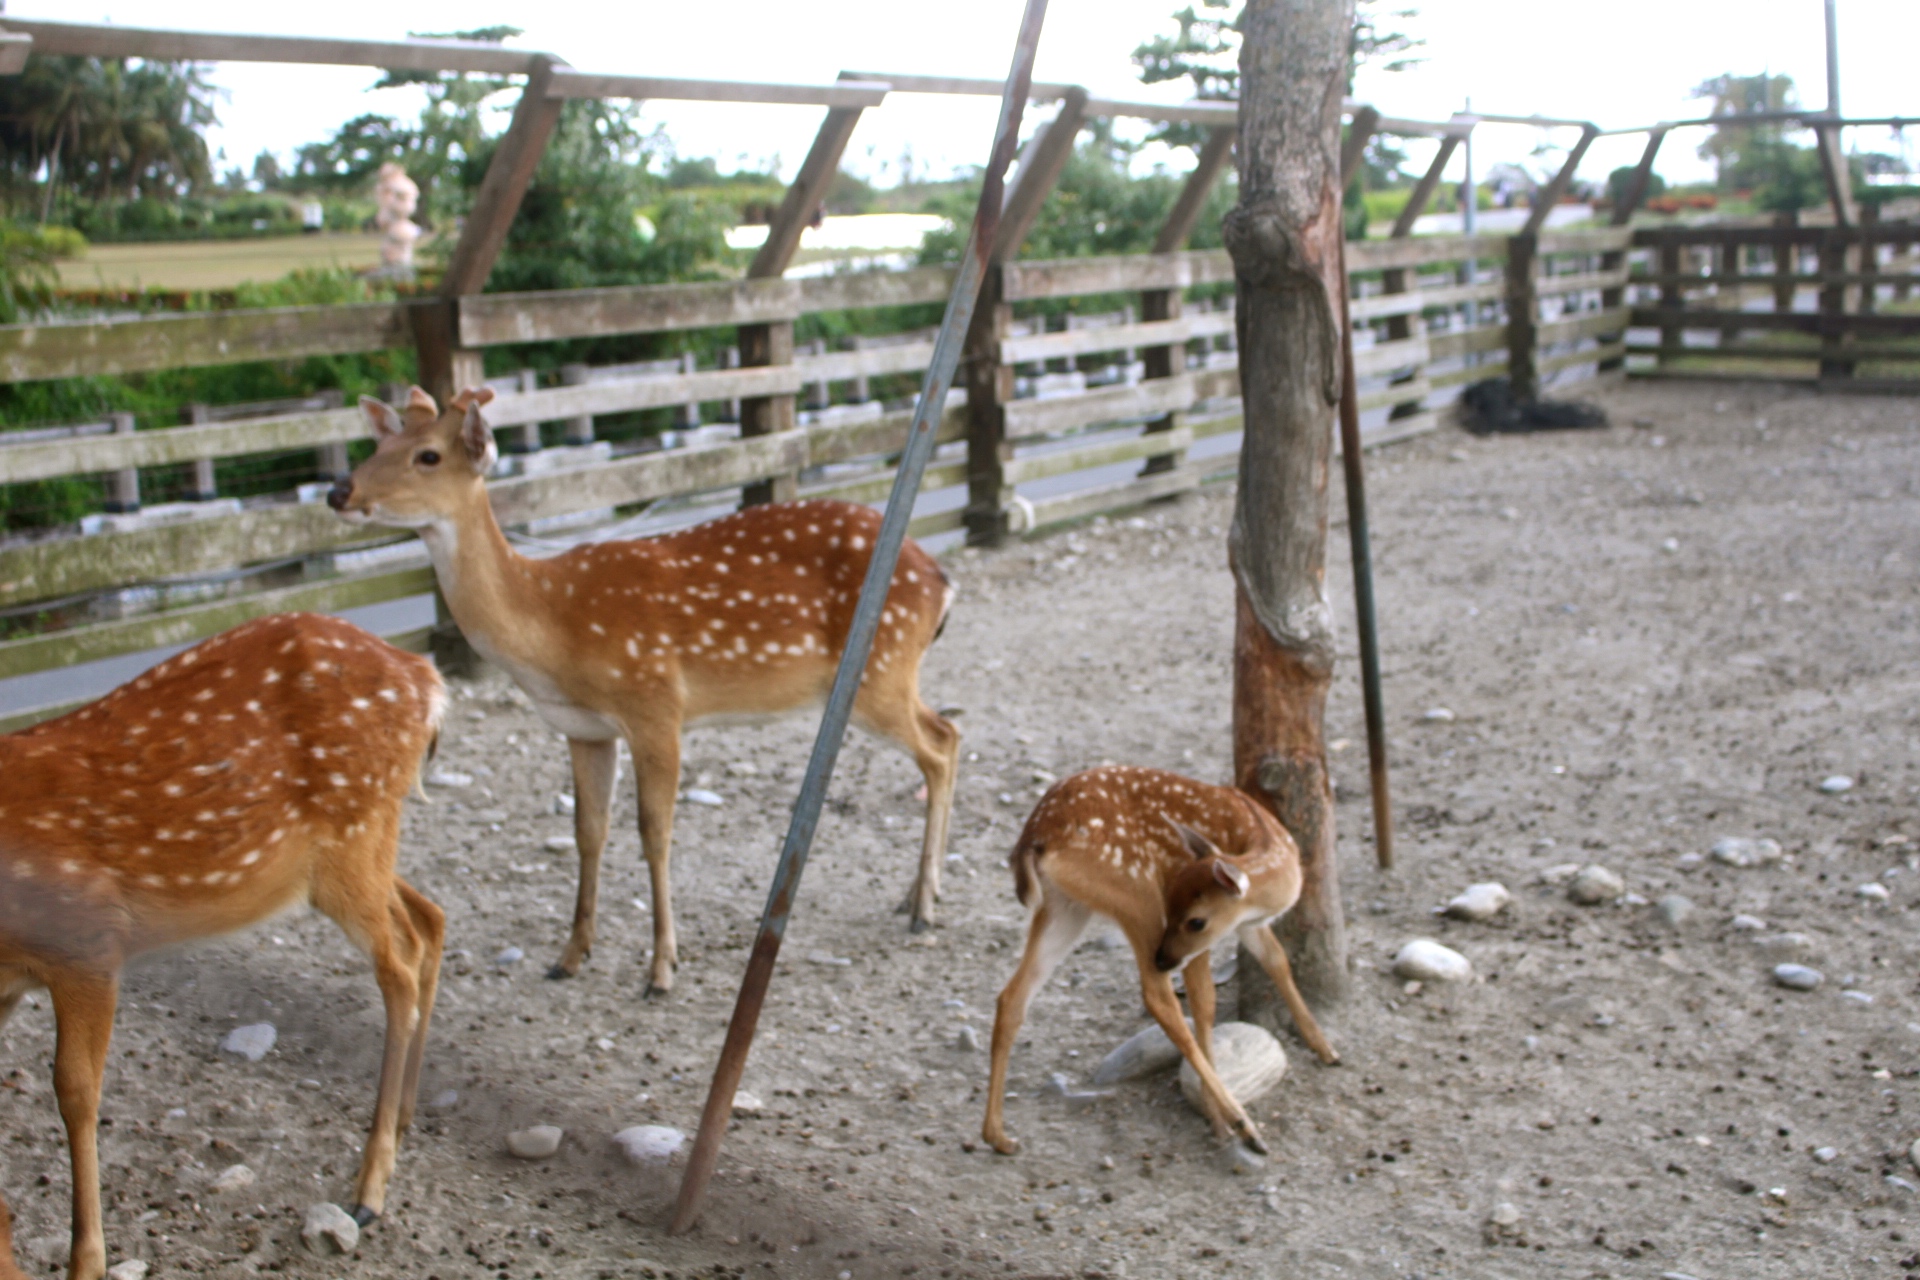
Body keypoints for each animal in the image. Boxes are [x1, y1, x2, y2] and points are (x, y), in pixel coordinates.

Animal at [0, 614, 445, 1274]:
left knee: (401, 965)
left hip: (355, 827)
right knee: (428, 918)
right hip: (354, 850)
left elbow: (75, 1092)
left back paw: (369, 1190)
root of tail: (423, 676)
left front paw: (87, 1262)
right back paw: (407, 1119)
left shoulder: (86, 939)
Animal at [334, 385, 960, 997]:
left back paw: (924, 907)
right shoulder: (583, 729)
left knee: (940, 746)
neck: (551, 631)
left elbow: (654, 833)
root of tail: (941, 580)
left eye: (428, 456)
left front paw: (661, 969)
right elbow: (588, 832)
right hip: (885, 673)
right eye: (379, 445)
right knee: (949, 731)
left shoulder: (655, 704)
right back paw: (918, 894)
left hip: (879, 669)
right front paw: (570, 956)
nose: (339, 490)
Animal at [983, 771, 1344, 1159]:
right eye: (1177, 909)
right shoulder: (1200, 940)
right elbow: (1204, 1002)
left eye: (1194, 920)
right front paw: (1217, 1119)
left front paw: (1325, 1048)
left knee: (1011, 997)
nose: (1163, 957)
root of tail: (1035, 837)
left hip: (1066, 907)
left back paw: (998, 1136)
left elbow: (1277, 961)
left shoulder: (1248, 926)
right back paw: (1245, 1125)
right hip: (1134, 892)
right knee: (1157, 997)